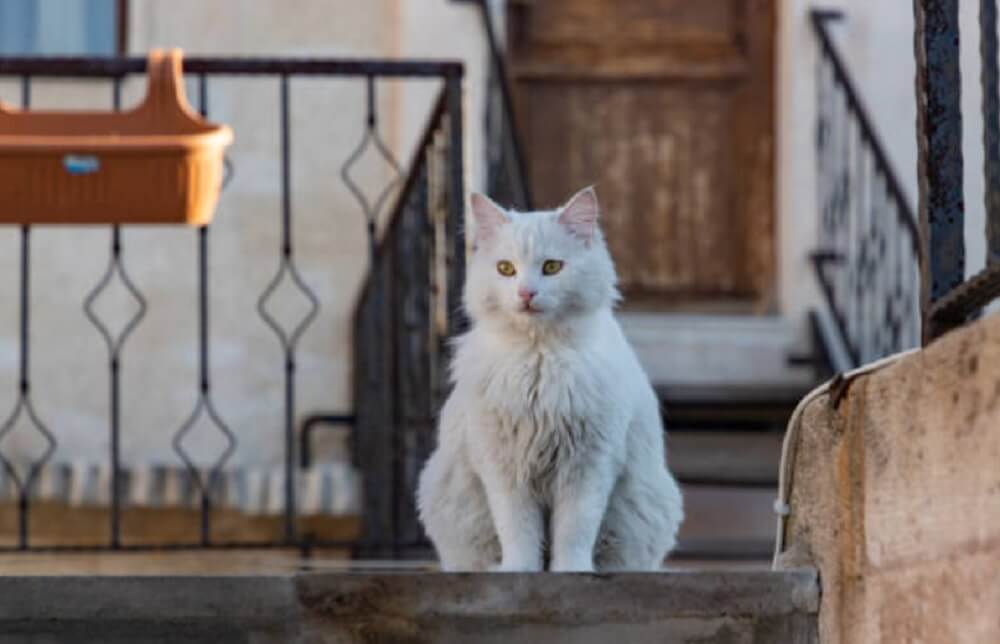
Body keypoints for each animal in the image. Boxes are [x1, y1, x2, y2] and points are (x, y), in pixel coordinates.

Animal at [412, 187, 680, 572]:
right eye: (505, 269)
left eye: (552, 267)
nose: (526, 293)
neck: (538, 360)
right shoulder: (504, 467)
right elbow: (519, 531)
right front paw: (519, 570)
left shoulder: (588, 464)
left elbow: (574, 531)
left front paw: (572, 571)